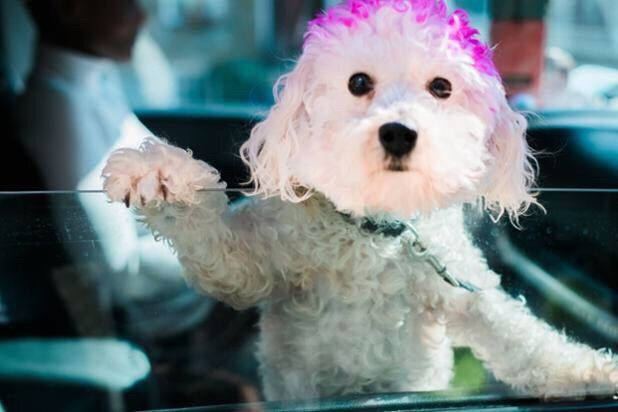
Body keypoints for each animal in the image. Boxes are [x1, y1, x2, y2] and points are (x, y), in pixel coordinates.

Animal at [102, 0, 616, 400]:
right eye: (358, 83)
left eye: (442, 87)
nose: (399, 132)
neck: (374, 232)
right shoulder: (256, 261)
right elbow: (218, 250)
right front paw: (162, 174)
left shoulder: (461, 285)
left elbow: (522, 337)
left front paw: (591, 371)